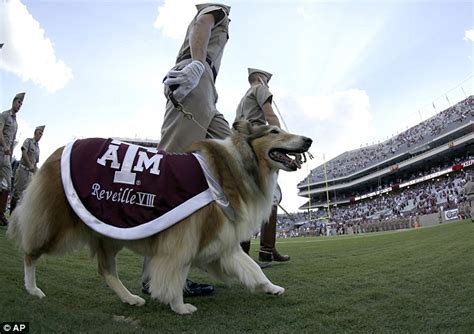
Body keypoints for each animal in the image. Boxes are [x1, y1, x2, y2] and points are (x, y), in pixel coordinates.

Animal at [7, 121, 312, 314]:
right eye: (274, 131)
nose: (308, 139)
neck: (233, 165)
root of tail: (59, 150)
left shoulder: (221, 240)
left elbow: (252, 268)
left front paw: (271, 288)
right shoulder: (183, 239)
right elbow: (175, 274)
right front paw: (179, 306)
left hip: (110, 227)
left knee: (106, 270)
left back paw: (129, 298)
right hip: (56, 225)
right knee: (30, 253)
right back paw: (32, 289)